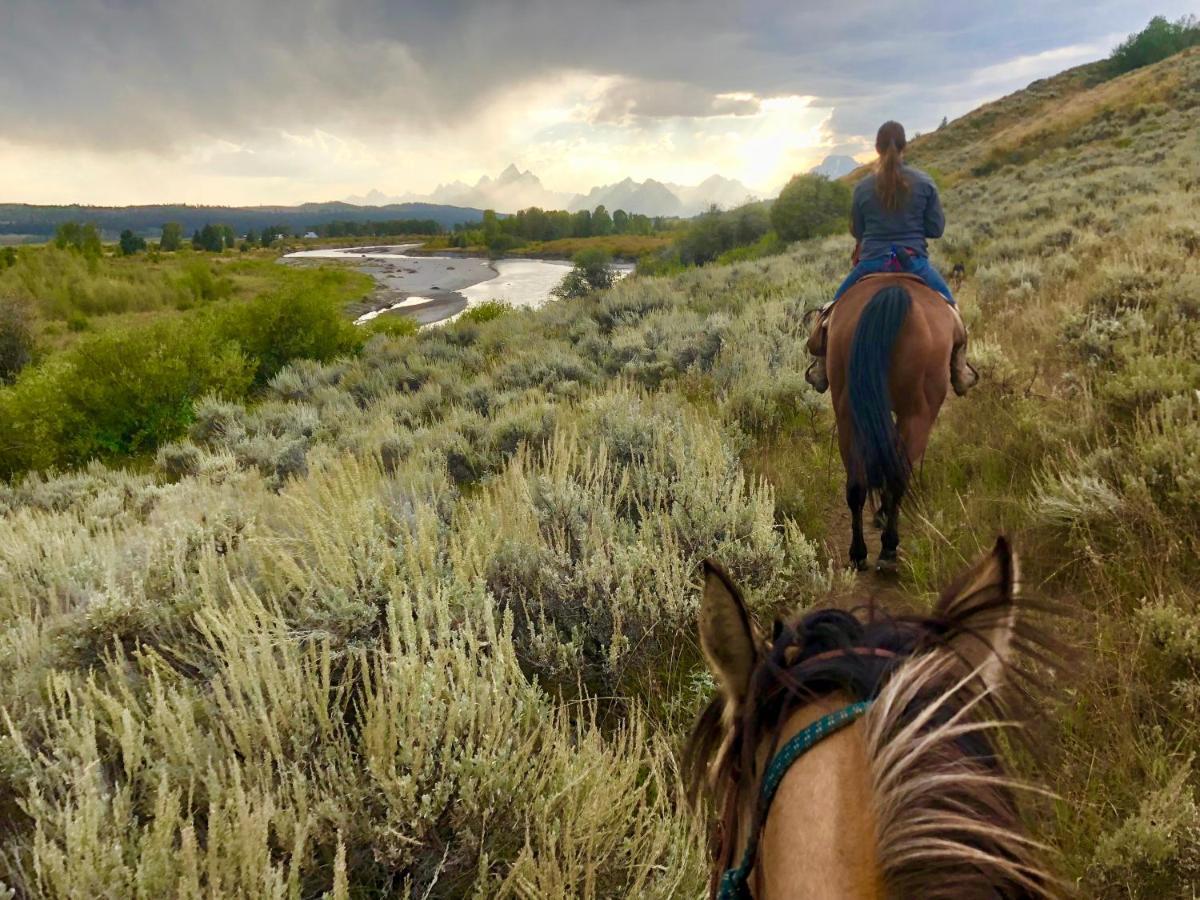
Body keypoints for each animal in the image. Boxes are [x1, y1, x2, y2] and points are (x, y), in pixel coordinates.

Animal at [806, 271, 964, 573]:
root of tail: (892, 292)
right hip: (917, 414)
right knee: (898, 476)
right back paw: (888, 548)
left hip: (849, 415)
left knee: (857, 484)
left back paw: (859, 553)